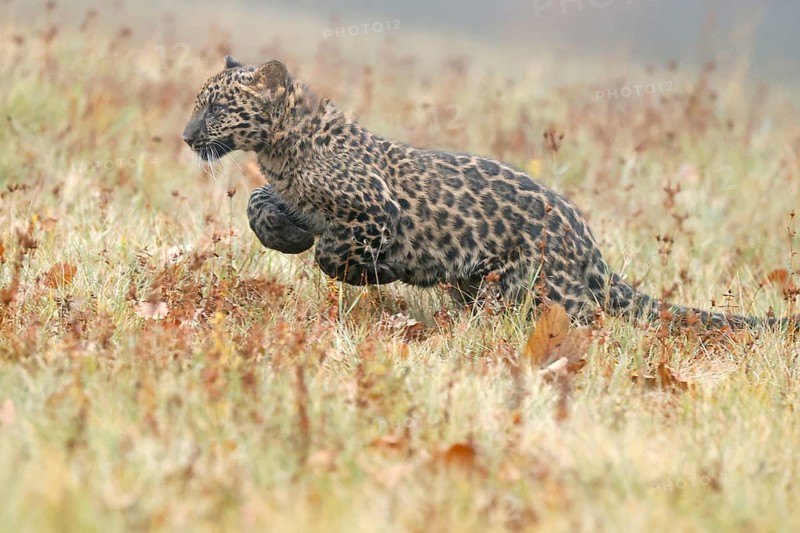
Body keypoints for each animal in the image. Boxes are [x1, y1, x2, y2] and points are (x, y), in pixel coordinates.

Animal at [182, 56, 798, 331]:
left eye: (216, 107)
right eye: (198, 104)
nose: (186, 136)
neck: (280, 151)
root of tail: (585, 236)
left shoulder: (378, 208)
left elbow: (338, 255)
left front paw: (376, 271)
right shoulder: (291, 194)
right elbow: (261, 206)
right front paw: (284, 235)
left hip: (551, 288)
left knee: (586, 321)